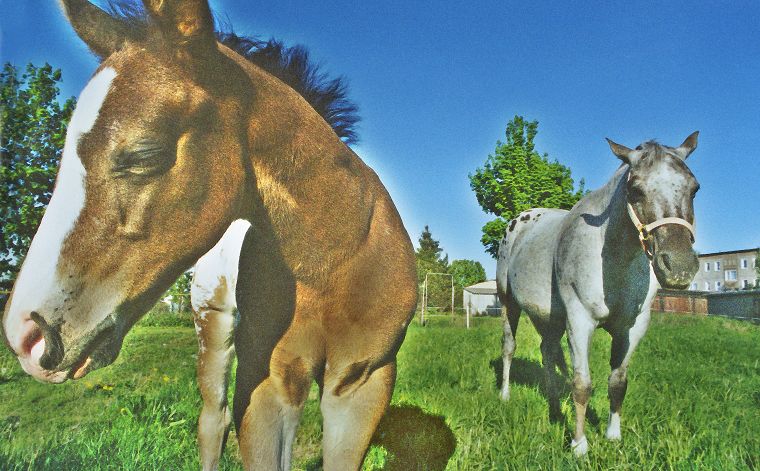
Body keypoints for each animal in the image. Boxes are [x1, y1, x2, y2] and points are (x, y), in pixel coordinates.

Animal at [1, 1, 416, 470]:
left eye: (146, 154)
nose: (25, 336)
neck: (335, 258)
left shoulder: (364, 382)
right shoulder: (269, 382)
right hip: (212, 325)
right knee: (213, 419)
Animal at [498, 134, 700, 458]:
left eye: (694, 188)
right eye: (635, 189)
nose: (680, 266)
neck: (614, 260)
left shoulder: (632, 327)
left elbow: (617, 382)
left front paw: (613, 435)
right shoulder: (579, 321)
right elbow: (582, 384)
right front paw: (579, 445)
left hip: (549, 319)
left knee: (547, 352)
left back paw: (553, 407)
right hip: (509, 303)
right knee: (509, 347)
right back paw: (505, 395)